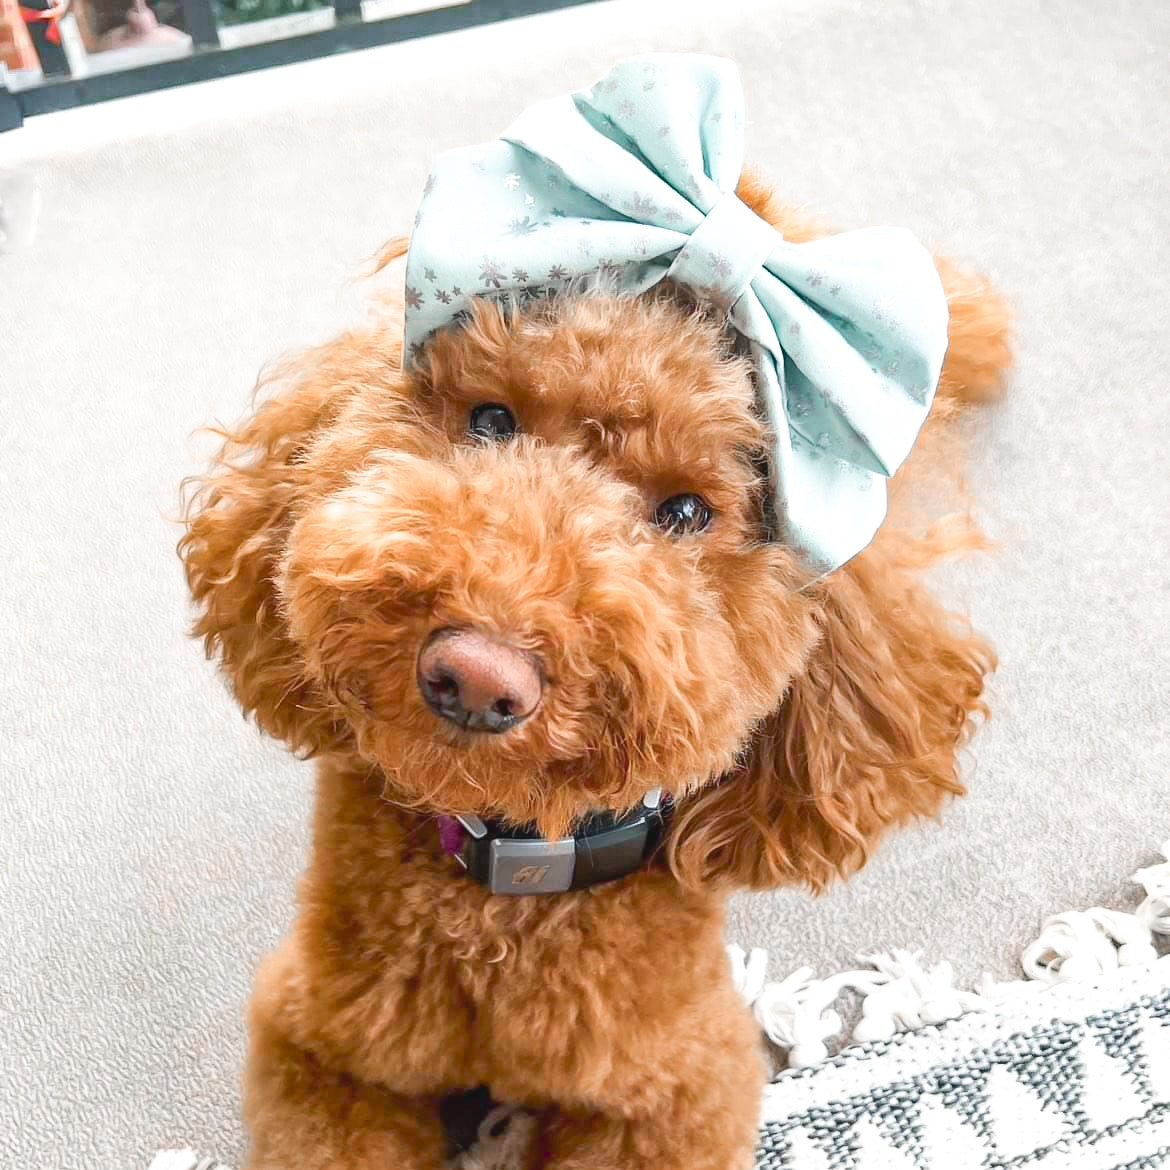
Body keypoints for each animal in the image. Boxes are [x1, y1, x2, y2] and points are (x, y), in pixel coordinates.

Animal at [177, 59, 1010, 1170]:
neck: (507, 893)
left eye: (686, 513)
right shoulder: (318, 1044)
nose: (477, 675)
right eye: (491, 420)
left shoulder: (674, 1091)